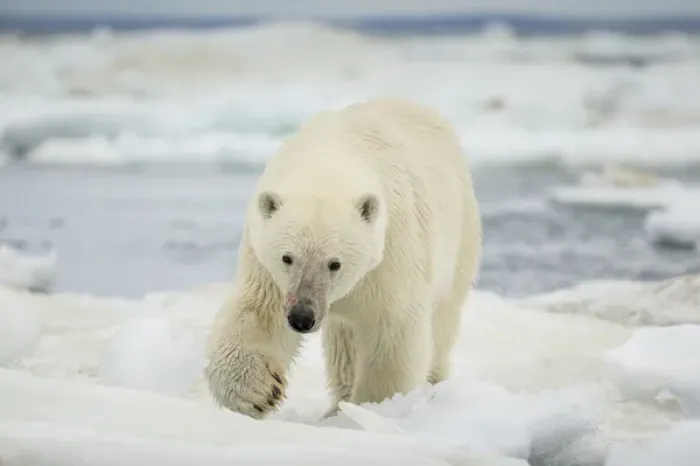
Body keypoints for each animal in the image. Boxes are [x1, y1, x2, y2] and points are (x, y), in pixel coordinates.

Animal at [205, 97, 482, 419]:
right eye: (287, 258)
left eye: (334, 263)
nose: (302, 317)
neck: (329, 161)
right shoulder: (264, 260)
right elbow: (258, 310)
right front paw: (257, 392)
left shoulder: (390, 254)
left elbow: (393, 329)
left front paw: (373, 408)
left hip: (460, 235)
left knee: (442, 321)